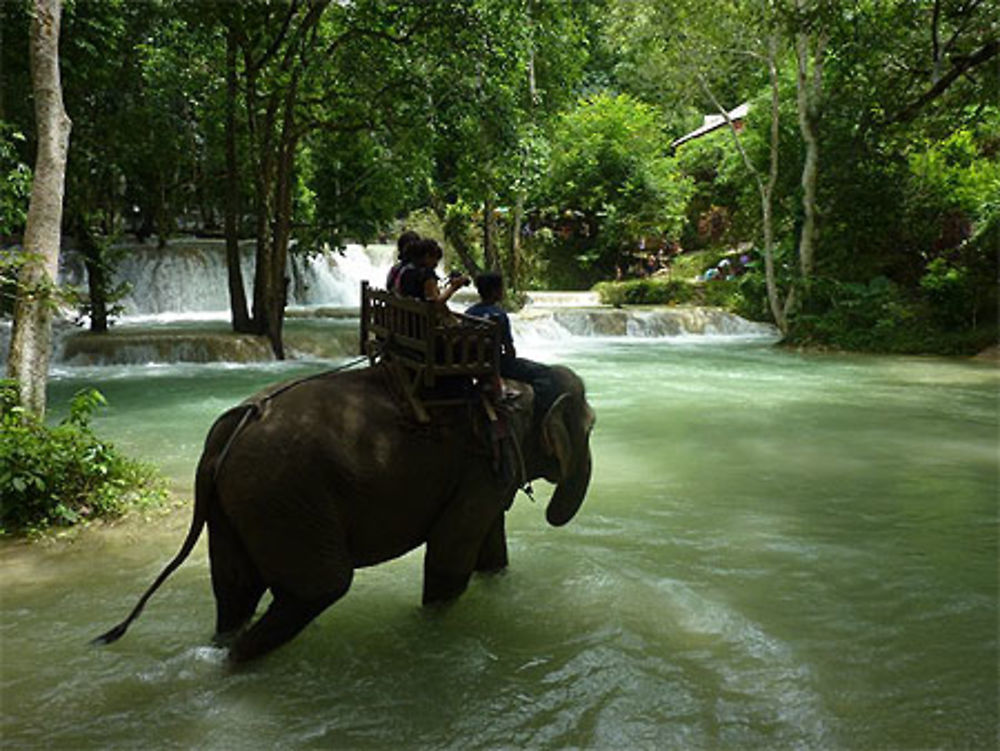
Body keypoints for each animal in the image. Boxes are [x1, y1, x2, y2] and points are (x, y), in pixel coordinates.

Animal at [94, 364, 592, 664]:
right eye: (590, 429)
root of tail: (233, 427)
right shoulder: (482, 465)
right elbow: (451, 555)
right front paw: (431, 626)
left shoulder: (484, 471)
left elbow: (489, 547)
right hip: (284, 497)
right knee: (320, 587)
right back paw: (239, 664)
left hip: (236, 504)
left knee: (236, 589)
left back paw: (224, 651)